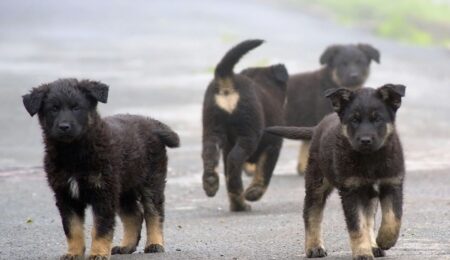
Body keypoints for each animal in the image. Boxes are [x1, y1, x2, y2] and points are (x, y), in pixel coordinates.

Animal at [21, 79, 179, 260]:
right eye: (53, 109)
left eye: (76, 107)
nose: (64, 126)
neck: (73, 153)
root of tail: (151, 123)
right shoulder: (65, 195)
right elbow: (72, 228)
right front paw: (73, 253)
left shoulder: (103, 193)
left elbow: (101, 228)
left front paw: (98, 253)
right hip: (123, 187)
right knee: (134, 215)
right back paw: (126, 246)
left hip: (151, 181)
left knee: (154, 213)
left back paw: (155, 244)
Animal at [201, 40, 288, 211]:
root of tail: (227, 78)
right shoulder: (273, 145)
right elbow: (264, 172)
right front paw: (254, 193)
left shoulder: (227, 147)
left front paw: (237, 204)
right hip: (248, 132)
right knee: (235, 161)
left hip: (212, 128)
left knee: (211, 154)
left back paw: (211, 183)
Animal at [268, 84, 406, 258]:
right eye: (354, 120)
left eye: (377, 119)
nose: (365, 140)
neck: (370, 159)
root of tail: (317, 127)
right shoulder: (350, 191)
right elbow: (357, 226)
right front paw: (362, 253)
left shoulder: (392, 183)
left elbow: (393, 218)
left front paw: (384, 240)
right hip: (317, 183)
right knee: (312, 213)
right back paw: (314, 247)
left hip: (367, 195)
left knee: (369, 218)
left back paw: (373, 246)